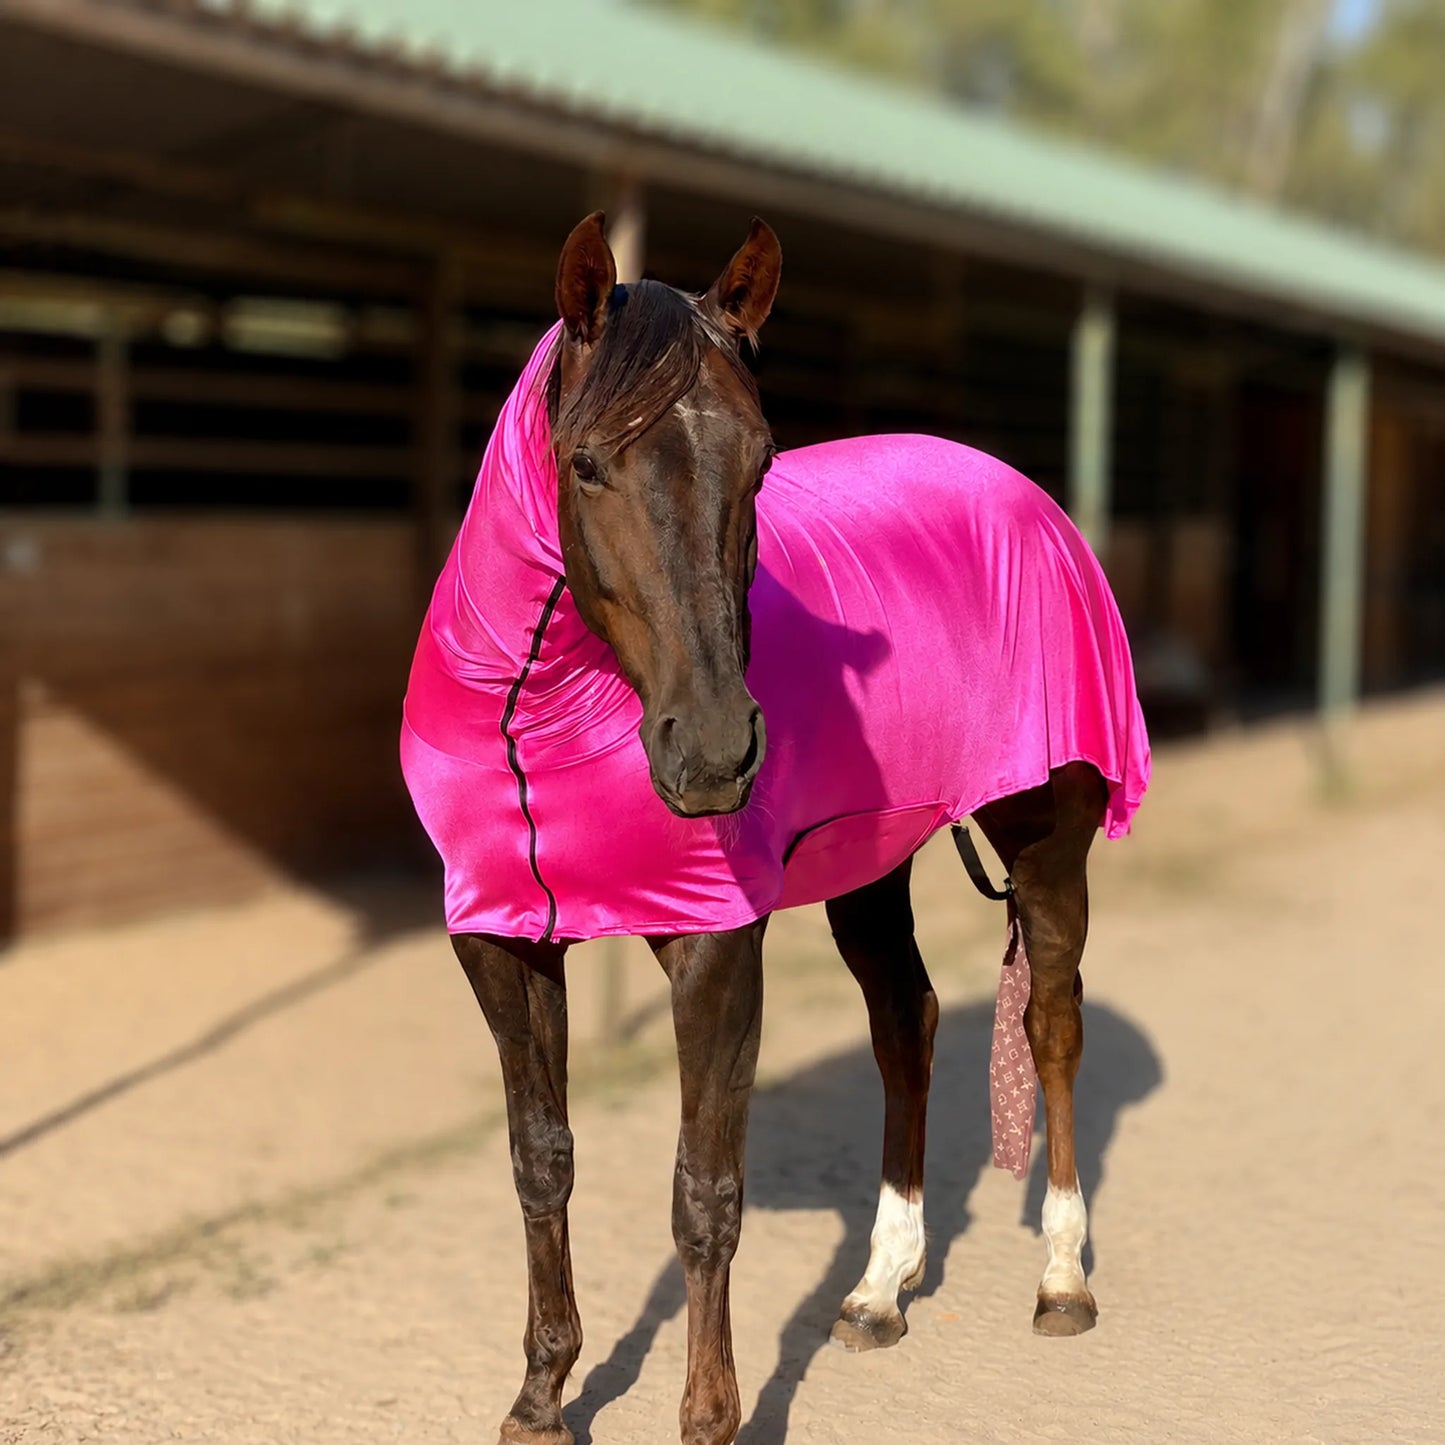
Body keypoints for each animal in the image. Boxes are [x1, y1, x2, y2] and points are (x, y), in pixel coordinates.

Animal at [400, 212, 1150, 1445]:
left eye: (759, 460)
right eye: (585, 463)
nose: (712, 752)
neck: (535, 707)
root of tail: (1026, 497)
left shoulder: (714, 943)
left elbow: (703, 1192)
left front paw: (708, 1417)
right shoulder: (500, 939)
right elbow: (539, 1161)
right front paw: (541, 1397)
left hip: (1044, 837)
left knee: (1049, 1023)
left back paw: (1060, 1277)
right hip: (869, 865)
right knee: (908, 1023)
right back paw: (878, 1290)